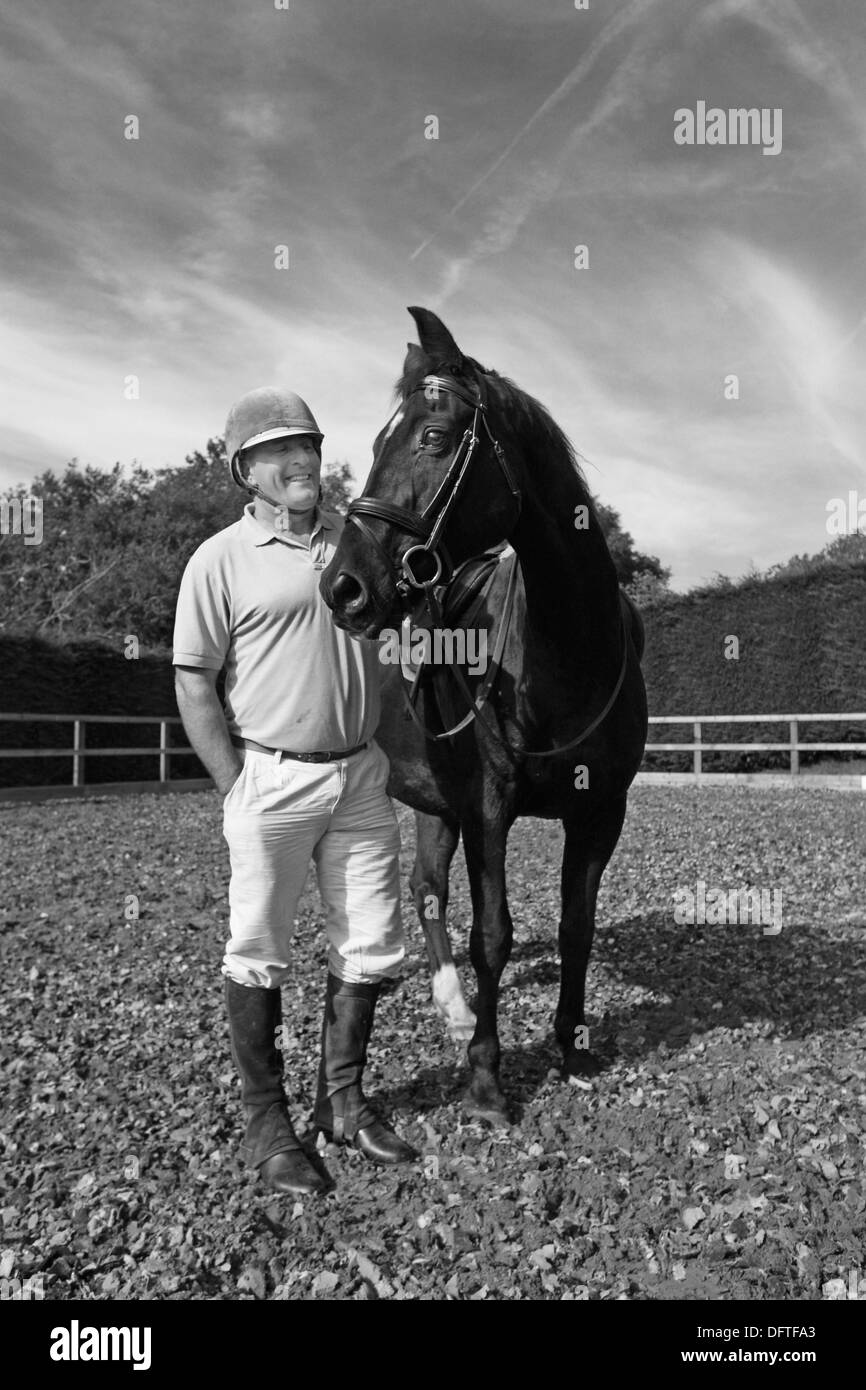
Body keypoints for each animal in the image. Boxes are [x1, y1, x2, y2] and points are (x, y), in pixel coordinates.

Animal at [319, 307, 648, 1124]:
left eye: (434, 438)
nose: (342, 587)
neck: (567, 654)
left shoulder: (600, 812)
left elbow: (575, 926)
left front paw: (571, 1046)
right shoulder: (489, 806)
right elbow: (492, 935)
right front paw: (487, 1080)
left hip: (436, 801)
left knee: (426, 889)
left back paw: (454, 1005)